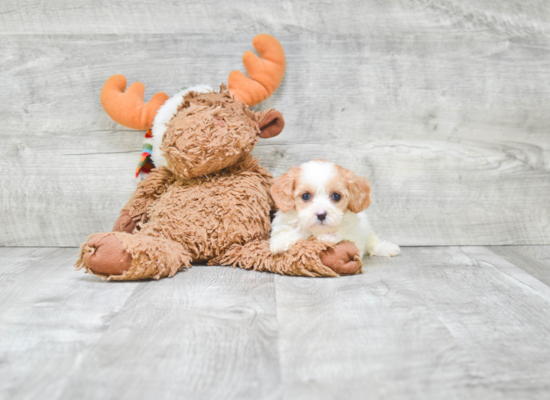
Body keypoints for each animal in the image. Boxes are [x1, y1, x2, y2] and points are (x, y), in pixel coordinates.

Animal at [270, 160, 402, 258]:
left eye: (336, 196)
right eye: (305, 196)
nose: (321, 214)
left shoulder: (355, 237)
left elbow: (344, 233)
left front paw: (329, 236)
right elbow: (288, 231)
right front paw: (281, 241)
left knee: (372, 242)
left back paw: (386, 248)